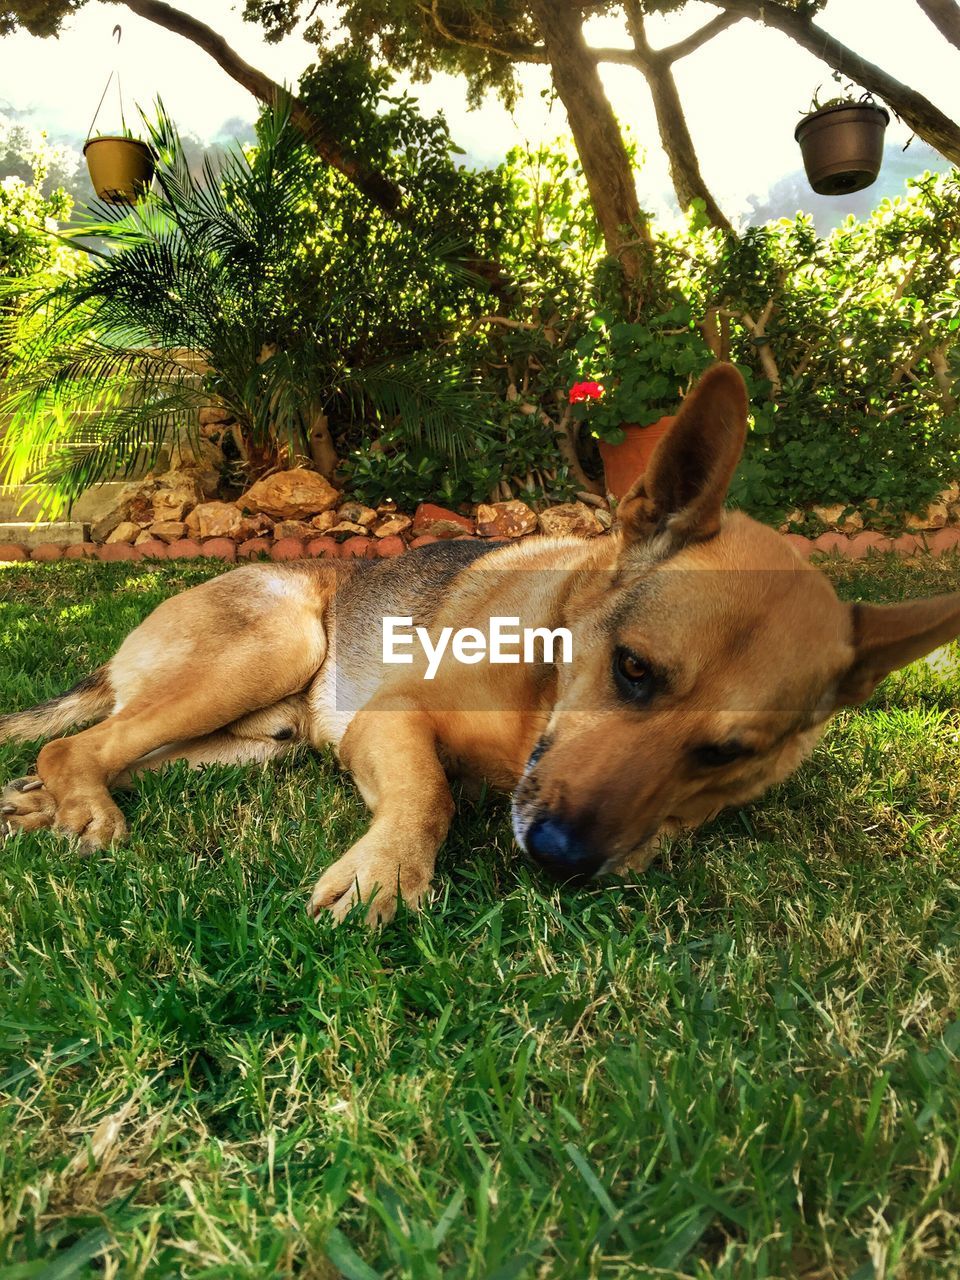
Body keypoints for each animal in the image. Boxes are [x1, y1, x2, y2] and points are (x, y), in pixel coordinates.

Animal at [1, 366, 960, 926]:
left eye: (728, 752)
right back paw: (79, 808)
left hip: (258, 742)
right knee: (76, 744)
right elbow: (429, 794)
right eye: (634, 669)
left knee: (103, 752)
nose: (560, 858)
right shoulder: (389, 721)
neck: (545, 685)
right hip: (276, 641)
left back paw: (43, 803)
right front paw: (384, 871)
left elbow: (652, 835)